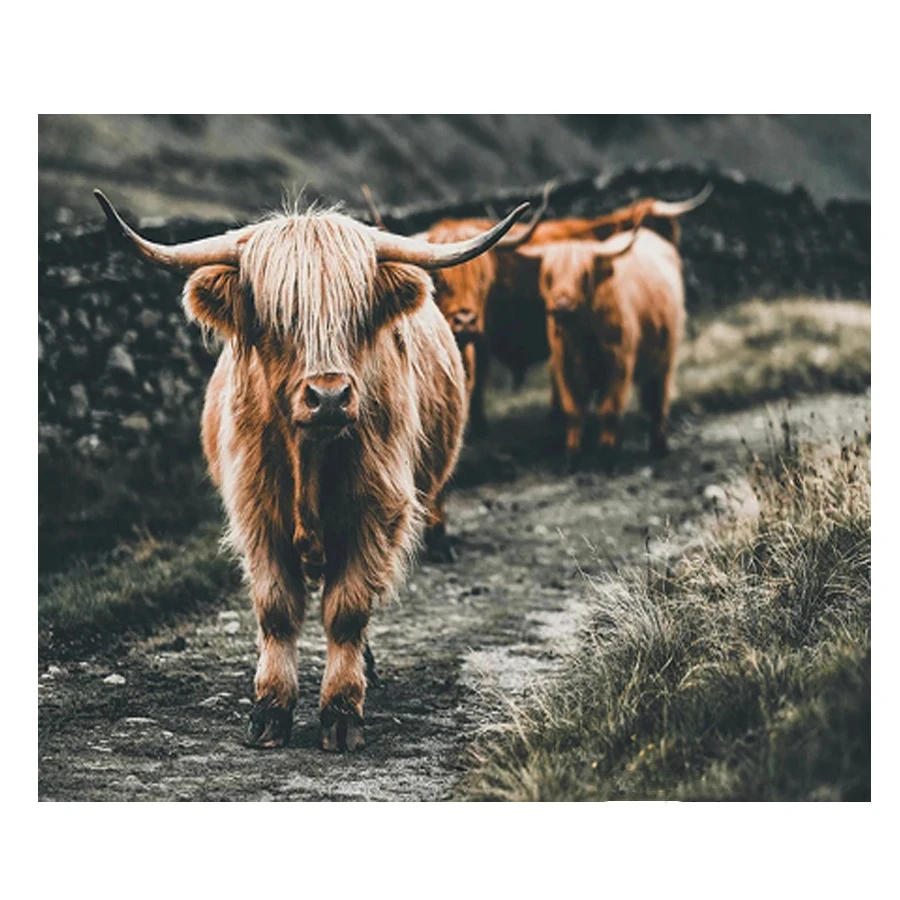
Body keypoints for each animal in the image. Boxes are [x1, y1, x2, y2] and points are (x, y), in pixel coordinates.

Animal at [93, 189, 529, 752]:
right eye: (278, 317)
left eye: (357, 313)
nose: (329, 396)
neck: (310, 461)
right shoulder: (256, 515)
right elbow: (277, 610)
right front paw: (270, 709)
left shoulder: (376, 513)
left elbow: (347, 611)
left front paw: (341, 712)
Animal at [516, 227, 685, 470]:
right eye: (549, 274)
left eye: (584, 275)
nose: (562, 305)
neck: (582, 335)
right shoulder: (564, 365)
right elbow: (573, 410)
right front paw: (572, 457)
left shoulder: (619, 363)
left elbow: (609, 409)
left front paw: (606, 456)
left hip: (665, 357)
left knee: (658, 398)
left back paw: (658, 446)